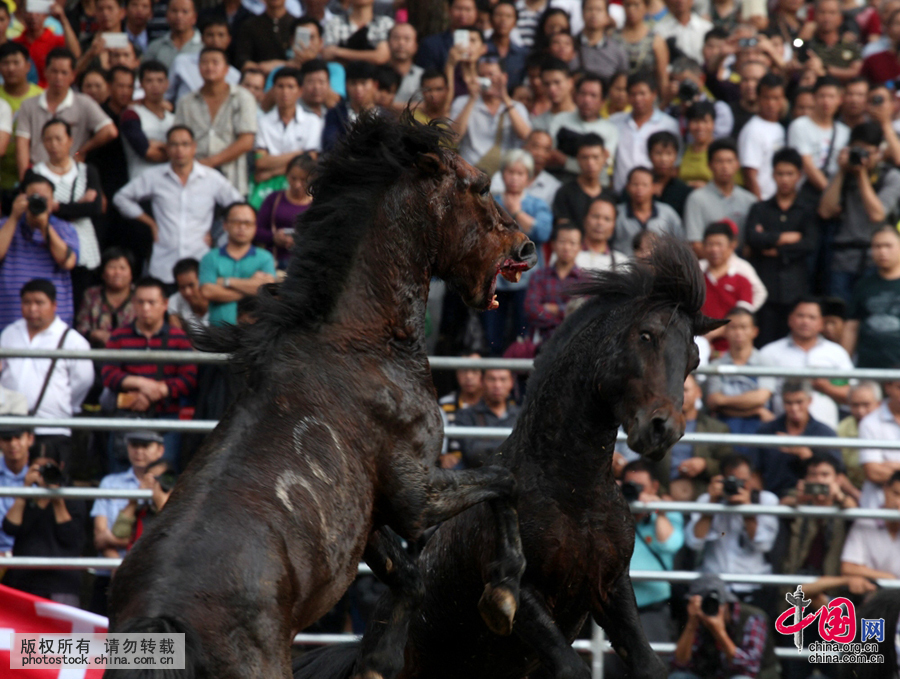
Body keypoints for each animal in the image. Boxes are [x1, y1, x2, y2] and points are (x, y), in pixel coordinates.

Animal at [104, 114, 536, 679]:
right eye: (481, 186)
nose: (526, 248)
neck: (359, 340)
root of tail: (161, 623)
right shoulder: (415, 496)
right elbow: (504, 480)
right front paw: (503, 593)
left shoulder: (369, 519)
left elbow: (410, 576)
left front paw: (376, 663)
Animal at [292, 238, 728, 679]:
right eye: (646, 335)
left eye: (693, 359)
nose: (662, 428)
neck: (575, 492)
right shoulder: (529, 600)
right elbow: (571, 667)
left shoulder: (612, 587)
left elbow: (650, 664)